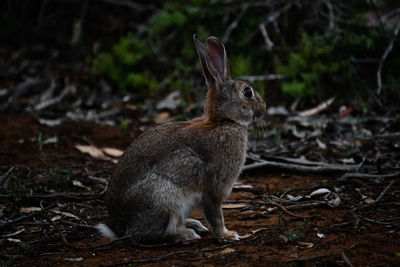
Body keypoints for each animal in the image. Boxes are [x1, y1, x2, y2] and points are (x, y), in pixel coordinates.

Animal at [95, 34, 266, 244]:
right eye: (247, 92)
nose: (263, 108)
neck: (224, 122)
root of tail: (119, 228)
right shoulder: (214, 188)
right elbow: (215, 215)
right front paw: (227, 235)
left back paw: (193, 225)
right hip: (164, 199)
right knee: (152, 235)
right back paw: (185, 234)